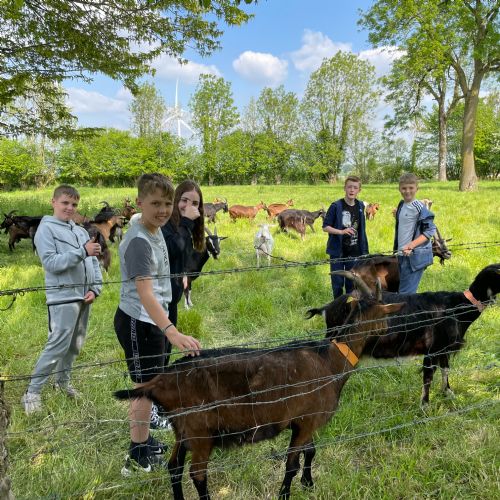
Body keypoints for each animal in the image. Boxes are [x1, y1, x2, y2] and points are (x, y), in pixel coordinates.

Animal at [115, 288, 403, 500]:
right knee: (197, 474)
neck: (329, 361)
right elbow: (292, 464)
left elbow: (310, 451)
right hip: (200, 432)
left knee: (174, 467)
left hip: (182, 429)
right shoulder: (306, 422)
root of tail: (160, 381)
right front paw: (285, 494)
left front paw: (309, 483)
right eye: (381, 313)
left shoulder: (305, 421)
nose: (390, 329)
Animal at [307, 264, 500, 406]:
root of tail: (327, 308)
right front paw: (425, 406)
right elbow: (428, 377)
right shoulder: (431, 349)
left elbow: (445, 369)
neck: (456, 307)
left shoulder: (443, 349)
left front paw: (448, 393)